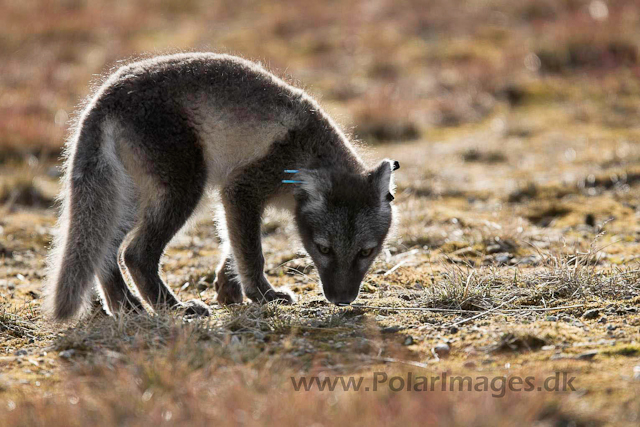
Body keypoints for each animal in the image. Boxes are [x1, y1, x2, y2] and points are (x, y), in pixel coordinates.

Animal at [45, 53, 398, 320]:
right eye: (323, 249)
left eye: (366, 252)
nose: (341, 300)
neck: (309, 149)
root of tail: (106, 95)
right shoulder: (241, 189)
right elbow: (252, 254)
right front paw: (262, 295)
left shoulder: (233, 200)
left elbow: (234, 244)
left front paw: (228, 289)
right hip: (182, 190)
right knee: (134, 254)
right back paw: (173, 307)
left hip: (131, 200)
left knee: (105, 251)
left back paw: (126, 307)